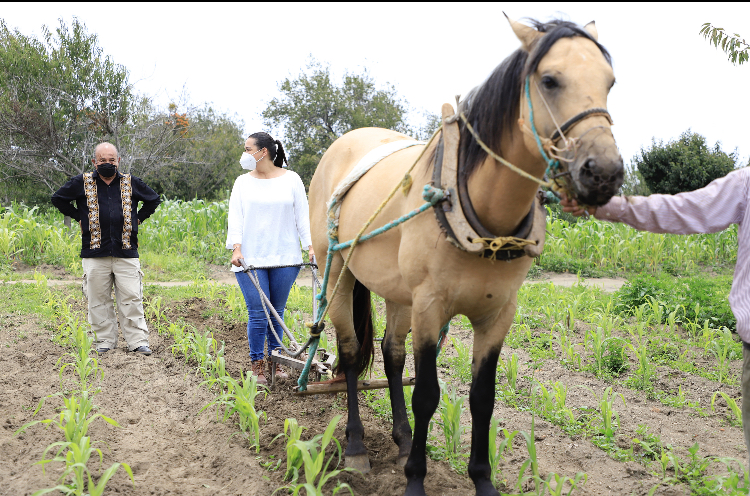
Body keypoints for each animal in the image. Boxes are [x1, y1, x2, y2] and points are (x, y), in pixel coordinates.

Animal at [308, 15, 624, 496]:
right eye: (549, 80)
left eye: (610, 82)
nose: (604, 172)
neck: (485, 219)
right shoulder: (430, 306)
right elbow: (427, 395)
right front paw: (415, 480)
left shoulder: (498, 315)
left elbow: (482, 398)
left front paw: (481, 479)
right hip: (339, 270)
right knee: (347, 351)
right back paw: (357, 445)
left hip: (398, 291)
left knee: (391, 354)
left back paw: (402, 440)